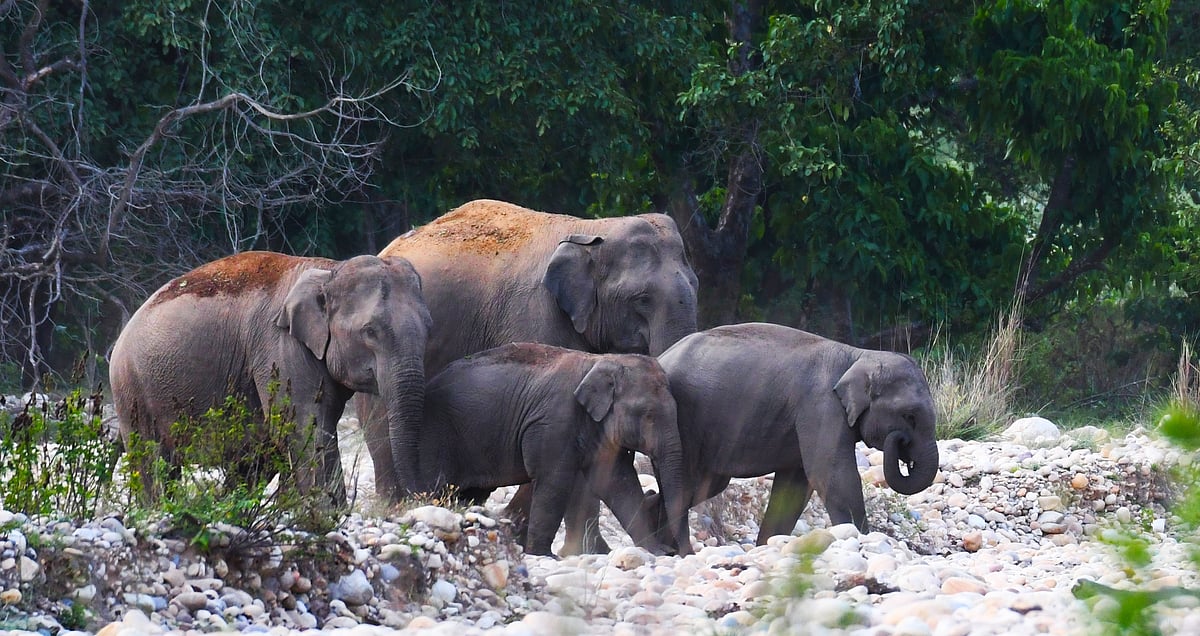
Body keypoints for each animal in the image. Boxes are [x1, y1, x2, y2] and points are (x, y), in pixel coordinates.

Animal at [109, 251, 431, 504]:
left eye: (428, 326)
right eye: (370, 331)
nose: (418, 498)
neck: (329, 271)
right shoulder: (279, 347)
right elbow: (304, 427)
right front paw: (328, 513)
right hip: (132, 389)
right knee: (151, 457)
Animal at [416, 342, 692, 557]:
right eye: (648, 414)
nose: (679, 552)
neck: (600, 361)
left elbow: (619, 483)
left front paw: (654, 552)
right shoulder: (554, 423)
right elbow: (554, 482)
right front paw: (543, 555)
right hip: (438, 434)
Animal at [617, 322, 941, 547]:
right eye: (909, 416)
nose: (900, 442)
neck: (858, 356)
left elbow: (796, 485)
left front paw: (768, 545)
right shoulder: (820, 406)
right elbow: (832, 474)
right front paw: (861, 536)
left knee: (702, 485)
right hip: (678, 424)